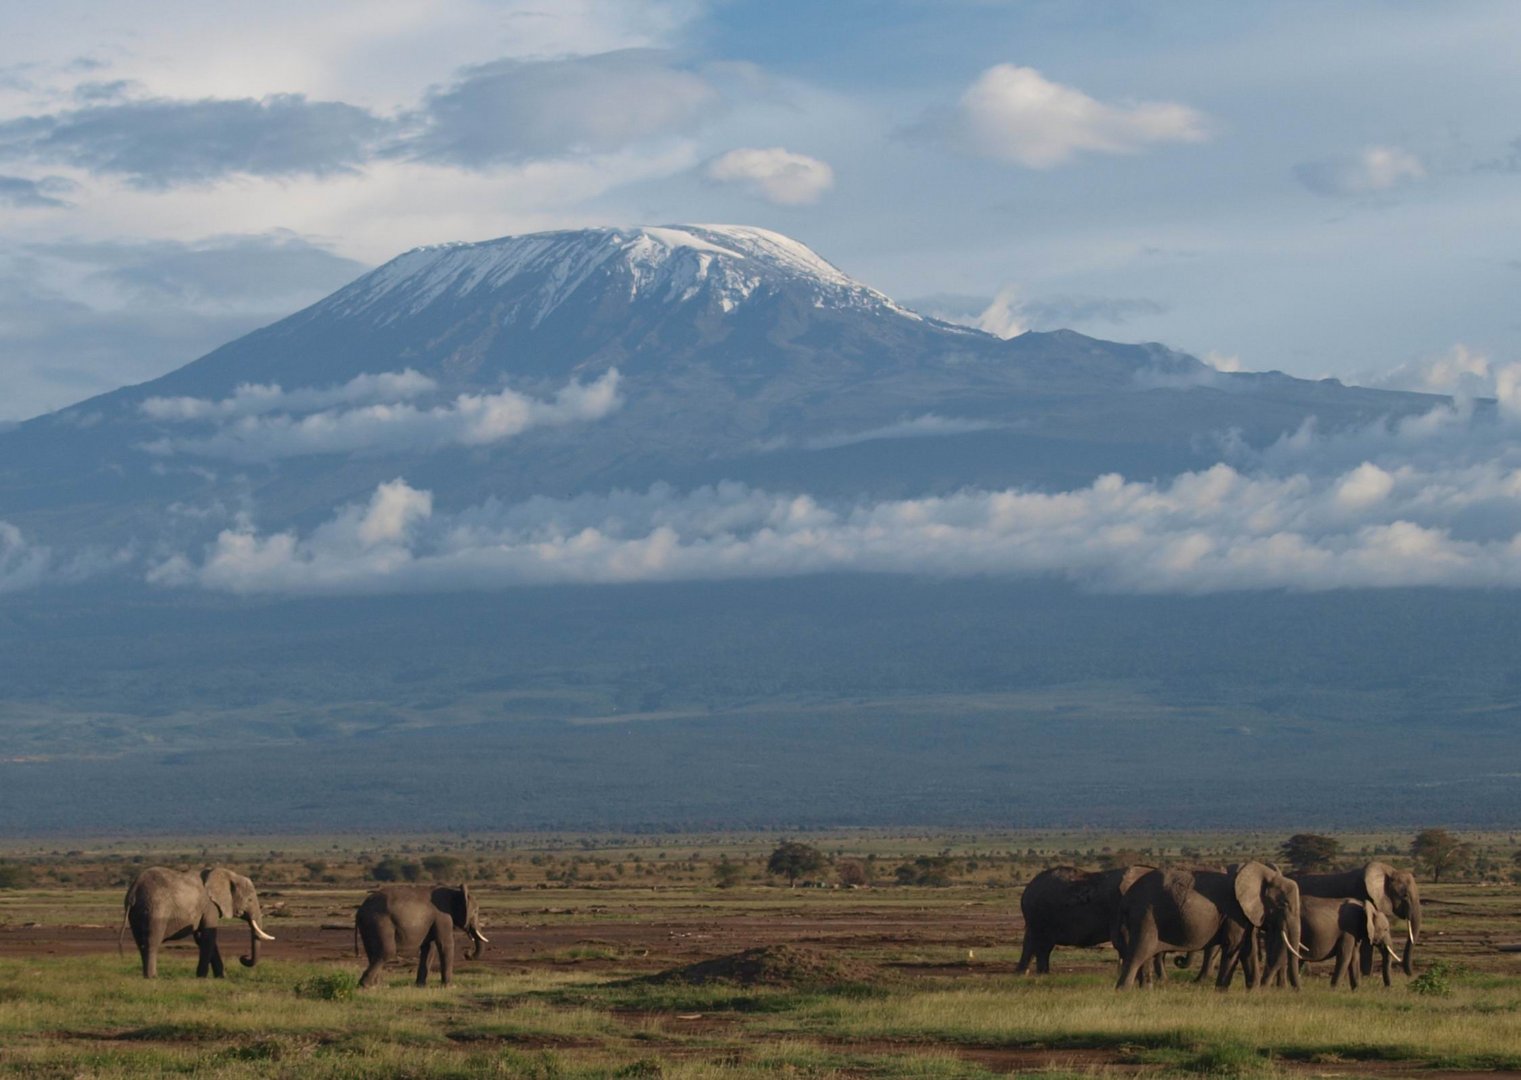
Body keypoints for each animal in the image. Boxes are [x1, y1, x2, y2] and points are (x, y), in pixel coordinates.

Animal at [120, 870, 276, 979]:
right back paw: (152, 977)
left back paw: (146, 976)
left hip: (138, 913)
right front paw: (202, 977)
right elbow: (209, 936)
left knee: (141, 943)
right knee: (151, 942)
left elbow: (202, 937)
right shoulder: (210, 906)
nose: (243, 957)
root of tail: (133, 891)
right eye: (250, 900)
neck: (228, 874)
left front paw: (222, 977)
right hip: (155, 909)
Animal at [354, 888, 486, 991]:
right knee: (387, 951)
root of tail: (359, 910)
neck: (455, 892)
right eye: (475, 911)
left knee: (373, 952)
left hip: (368, 925)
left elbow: (429, 948)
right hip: (379, 922)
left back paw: (378, 985)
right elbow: (445, 945)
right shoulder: (443, 917)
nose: (467, 953)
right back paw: (367, 986)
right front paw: (450, 987)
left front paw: (420, 986)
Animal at [1016, 870, 1155, 979]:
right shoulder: (1117, 909)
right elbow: (1122, 941)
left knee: (1040, 945)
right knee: (1038, 944)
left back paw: (1035, 974)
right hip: (1038, 915)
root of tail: (1026, 890)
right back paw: (1032, 974)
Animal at [1113, 864, 1301, 991]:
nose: (1298, 991)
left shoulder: (1245, 914)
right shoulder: (1234, 911)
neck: (1262, 873)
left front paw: (1253, 992)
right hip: (1146, 915)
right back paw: (1123, 990)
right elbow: (1234, 947)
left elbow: (1248, 948)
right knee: (1139, 952)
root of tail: (1126, 899)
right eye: (1284, 904)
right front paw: (1221, 991)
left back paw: (1144, 989)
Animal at [1289, 864, 1417, 979]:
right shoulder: (1362, 896)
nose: (1410, 974)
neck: (1388, 870)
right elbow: (1366, 943)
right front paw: (1367, 977)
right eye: (1405, 895)